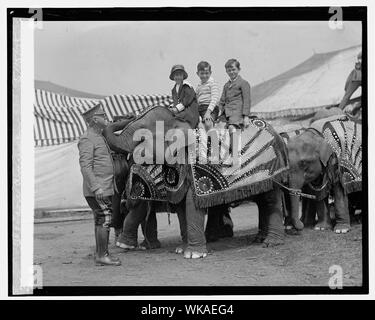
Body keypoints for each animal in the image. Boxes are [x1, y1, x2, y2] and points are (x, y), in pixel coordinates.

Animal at [103, 106, 290, 258]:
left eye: (142, 137)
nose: (126, 115)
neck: (178, 120)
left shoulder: (196, 169)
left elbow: (191, 204)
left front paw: (193, 255)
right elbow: (180, 206)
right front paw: (181, 250)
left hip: (272, 166)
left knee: (270, 199)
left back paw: (271, 243)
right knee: (261, 200)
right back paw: (258, 239)